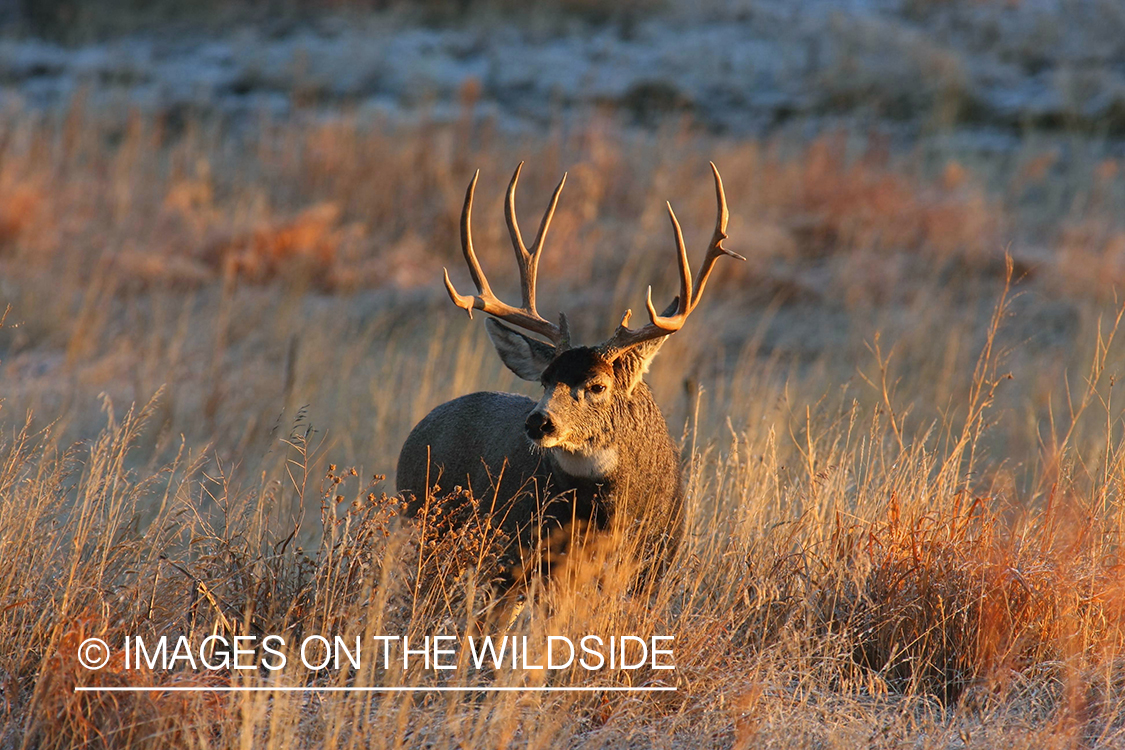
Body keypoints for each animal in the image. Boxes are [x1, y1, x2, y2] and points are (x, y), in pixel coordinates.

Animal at [396, 162, 741, 587]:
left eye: (598, 385)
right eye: (545, 380)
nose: (538, 422)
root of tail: (420, 428)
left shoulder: (656, 564)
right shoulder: (524, 554)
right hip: (429, 528)